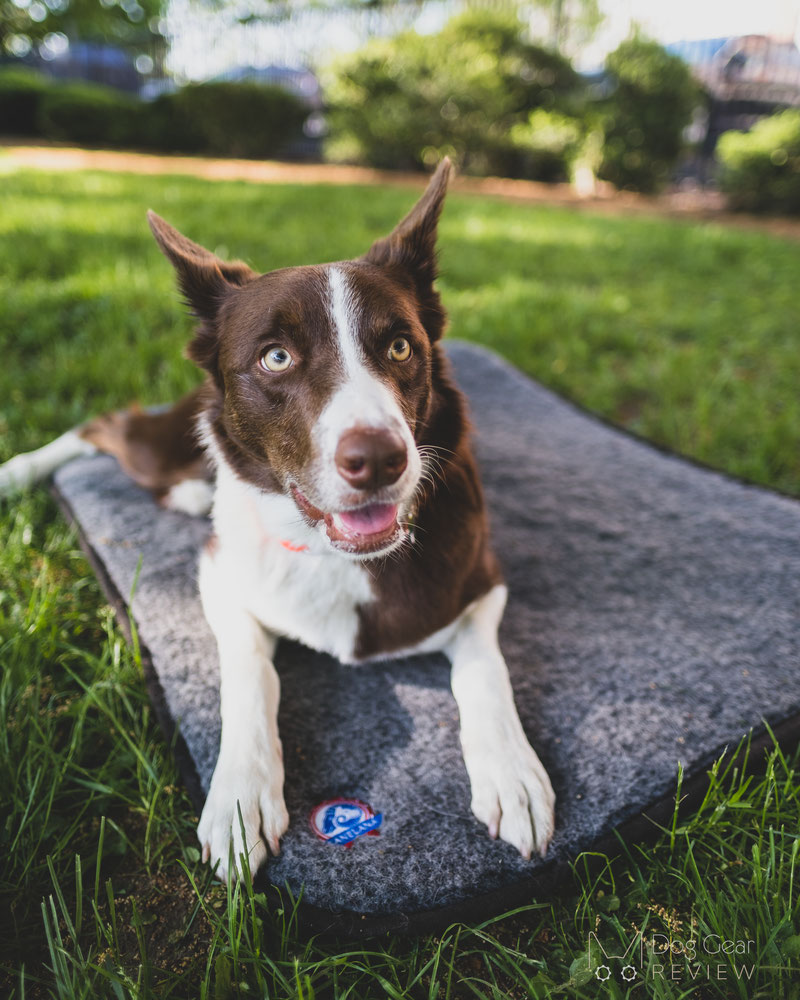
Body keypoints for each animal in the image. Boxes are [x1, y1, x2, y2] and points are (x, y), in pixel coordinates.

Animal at [0, 160, 552, 880]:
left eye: (401, 347)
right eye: (277, 358)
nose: (379, 459)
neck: (339, 553)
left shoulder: (482, 579)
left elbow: (484, 667)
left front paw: (512, 773)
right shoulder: (219, 576)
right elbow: (249, 673)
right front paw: (241, 796)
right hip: (160, 443)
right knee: (105, 425)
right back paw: (18, 473)